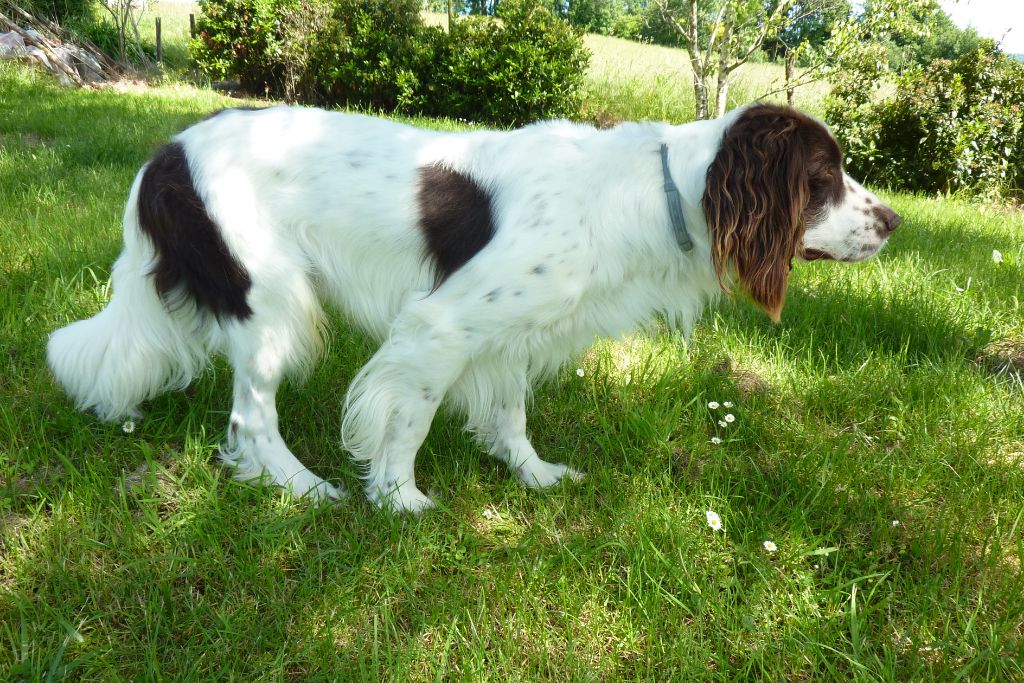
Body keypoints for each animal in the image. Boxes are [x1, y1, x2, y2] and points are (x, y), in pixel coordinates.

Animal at [48, 102, 901, 511]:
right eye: (823, 177)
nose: (895, 220)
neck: (656, 188)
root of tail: (164, 154)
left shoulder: (515, 331)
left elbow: (512, 413)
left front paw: (535, 475)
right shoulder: (441, 325)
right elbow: (411, 420)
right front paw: (399, 499)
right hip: (271, 298)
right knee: (250, 417)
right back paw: (304, 488)